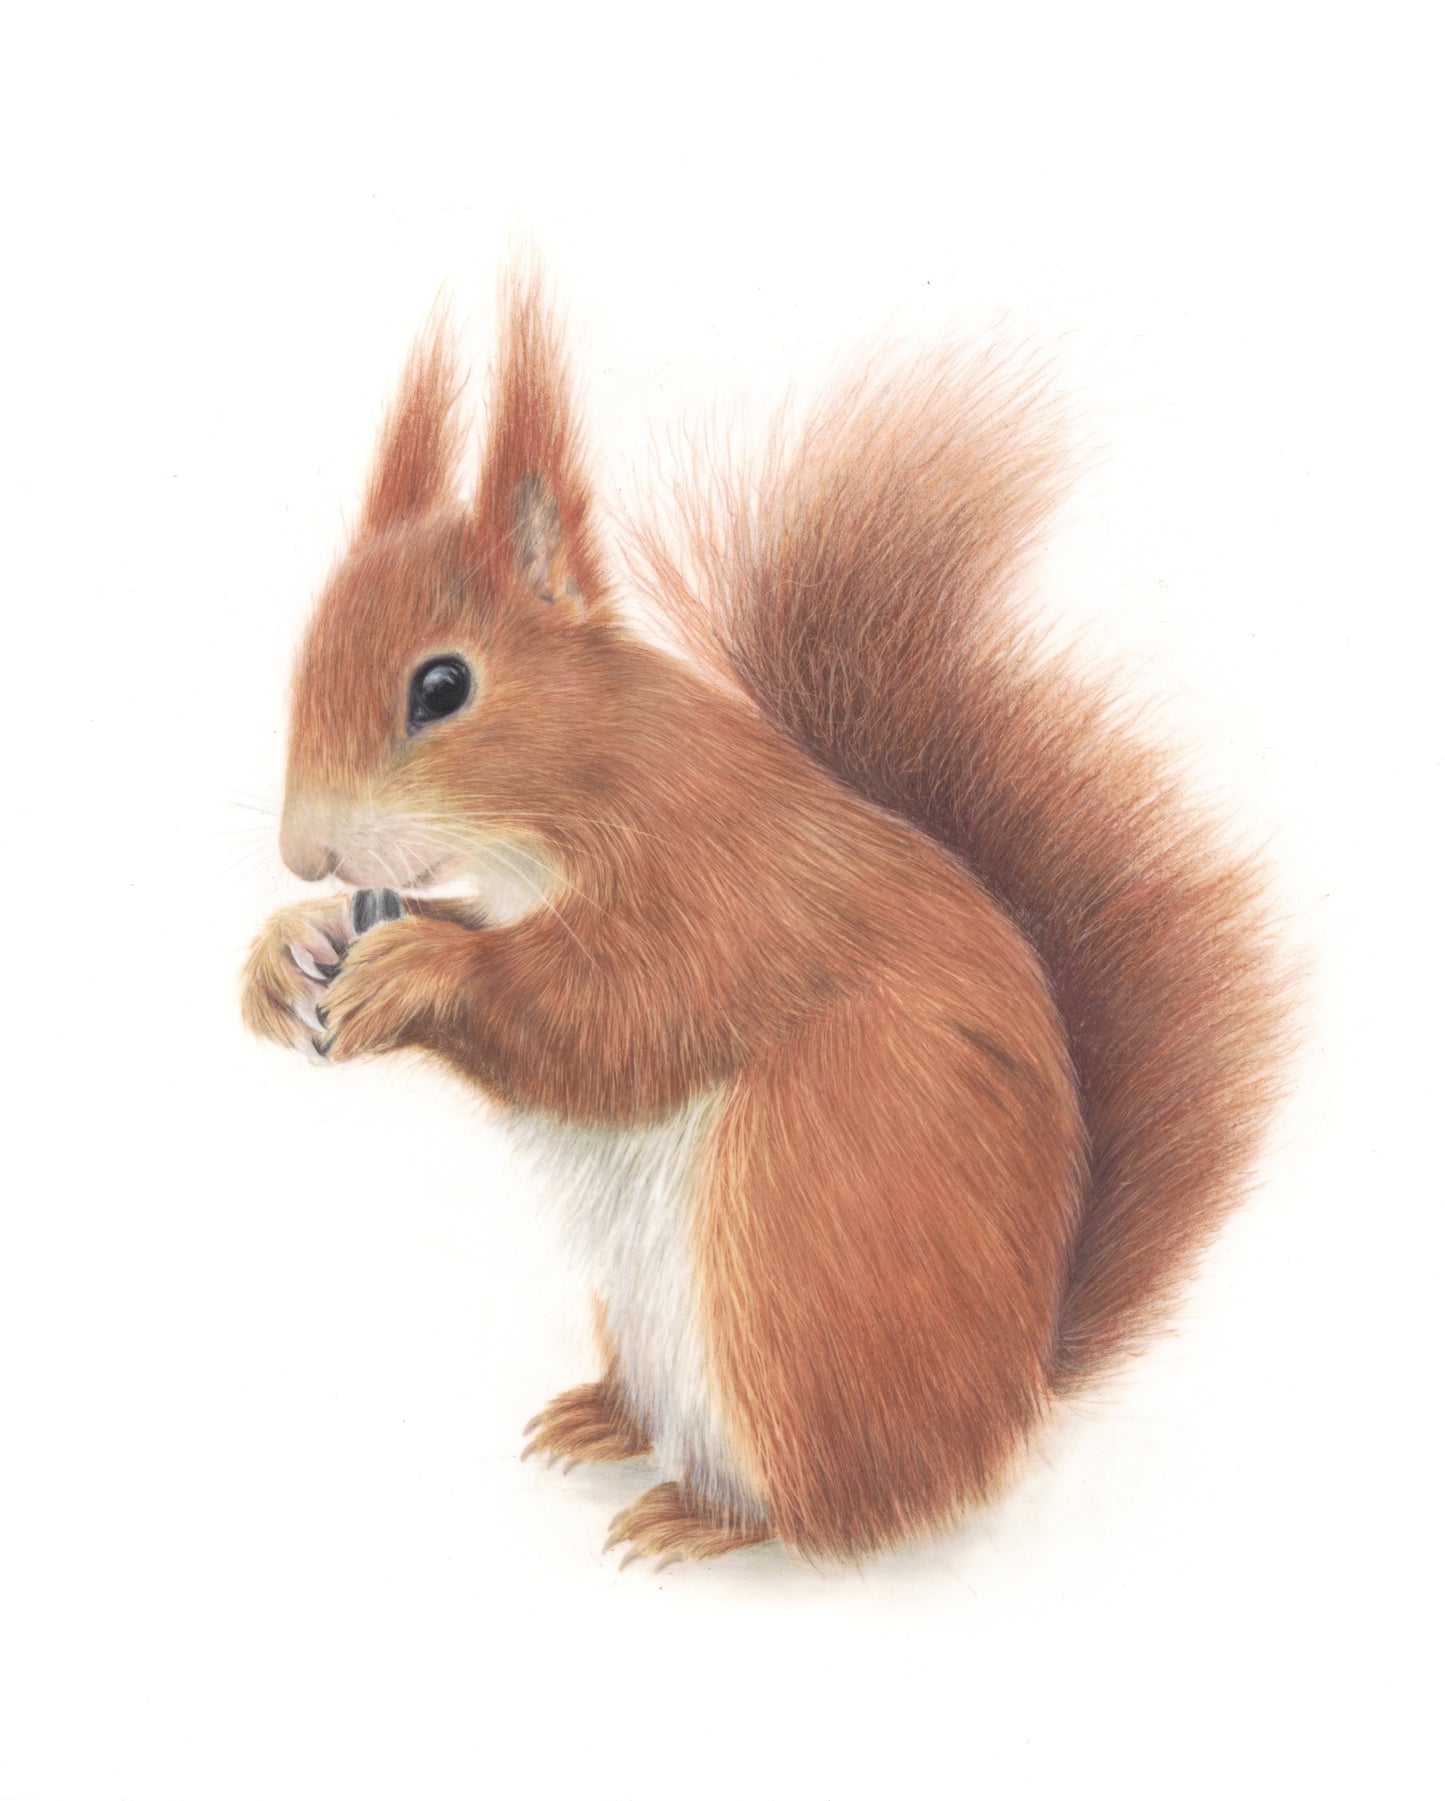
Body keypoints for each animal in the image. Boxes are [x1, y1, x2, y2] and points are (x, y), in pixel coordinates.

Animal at [242, 267, 1289, 1566]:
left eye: (442, 686)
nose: (303, 854)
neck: (588, 786)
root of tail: (1010, 1405)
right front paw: (282, 955)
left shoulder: (721, 891)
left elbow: (615, 1020)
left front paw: (415, 968)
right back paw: (602, 1420)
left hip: (788, 1258)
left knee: (836, 1513)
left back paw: (701, 1517)